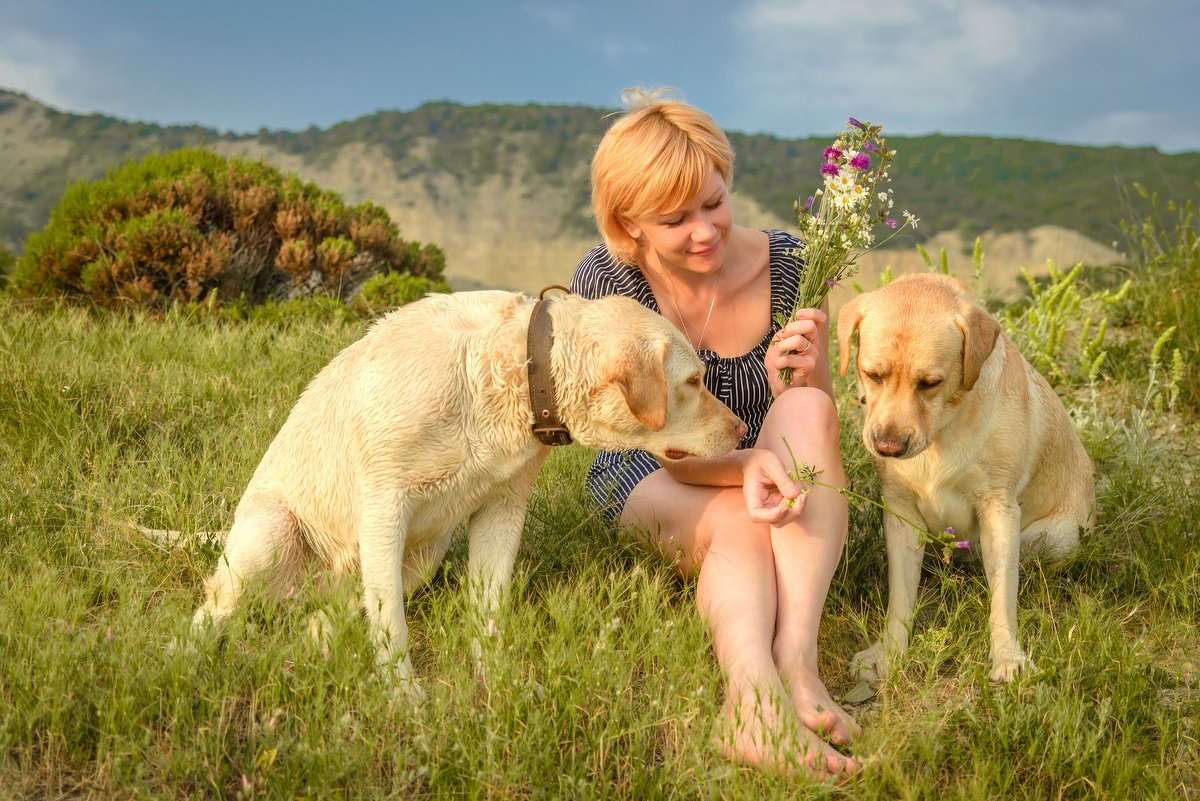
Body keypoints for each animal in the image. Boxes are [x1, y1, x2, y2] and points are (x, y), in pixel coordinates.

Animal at [182, 287, 744, 695]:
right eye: (693, 381)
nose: (741, 430)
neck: (514, 371)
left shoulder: (503, 509)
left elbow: (487, 611)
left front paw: (495, 683)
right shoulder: (384, 505)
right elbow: (392, 626)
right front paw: (404, 700)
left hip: (419, 559)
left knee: (328, 613)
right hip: (273, 535)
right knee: (214, 608)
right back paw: (183, 657)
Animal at [840, 273, 1094, 681]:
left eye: (929, 383)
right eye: (872, 374)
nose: (888, 446)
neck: (940, 436)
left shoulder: (999, 511)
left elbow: (1003, 596)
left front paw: (1007, 657)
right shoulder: (900, 513)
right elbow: (900, 596)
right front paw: (888, 652)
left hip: (1055, 539)